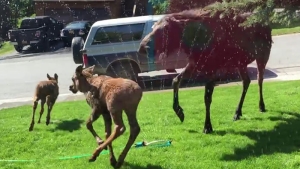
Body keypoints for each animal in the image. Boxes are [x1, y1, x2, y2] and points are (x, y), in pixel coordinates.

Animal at [137, 8, 274, 133]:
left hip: (263, 54)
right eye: (153, 27)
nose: (142, 47)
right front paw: (179, 111)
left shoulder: (211, 68)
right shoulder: (195, 64)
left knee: (259, 79)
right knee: (246, 81)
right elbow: (176, 80)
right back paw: (237, 112)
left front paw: (207, 126)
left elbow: (207, 98)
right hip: (241, 63)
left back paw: (261, 106)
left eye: (165, 29)